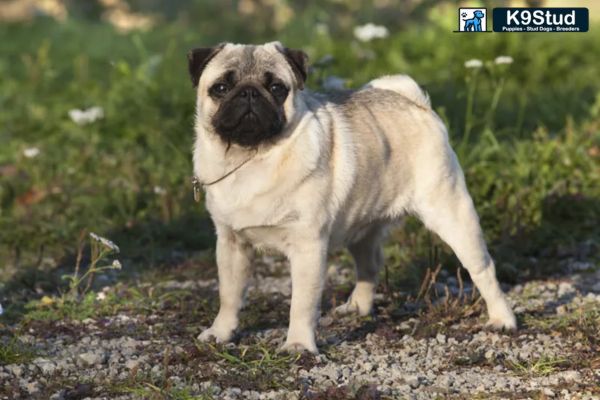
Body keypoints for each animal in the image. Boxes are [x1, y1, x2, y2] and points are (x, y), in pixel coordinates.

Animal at [189, 41, 516, 354]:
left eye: (277, 88)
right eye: (221, 88)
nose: (249, 93)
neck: (251, 158)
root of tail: (415, 103)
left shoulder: (308, 247)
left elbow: (302, 304)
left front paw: (298, 345)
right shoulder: (231, 244)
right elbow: (229, 295)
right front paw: (221, 332)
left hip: (452, 214)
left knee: (483, 270)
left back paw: (503, 319)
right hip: (362, 227)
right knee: (369, 266)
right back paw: (358, 307)